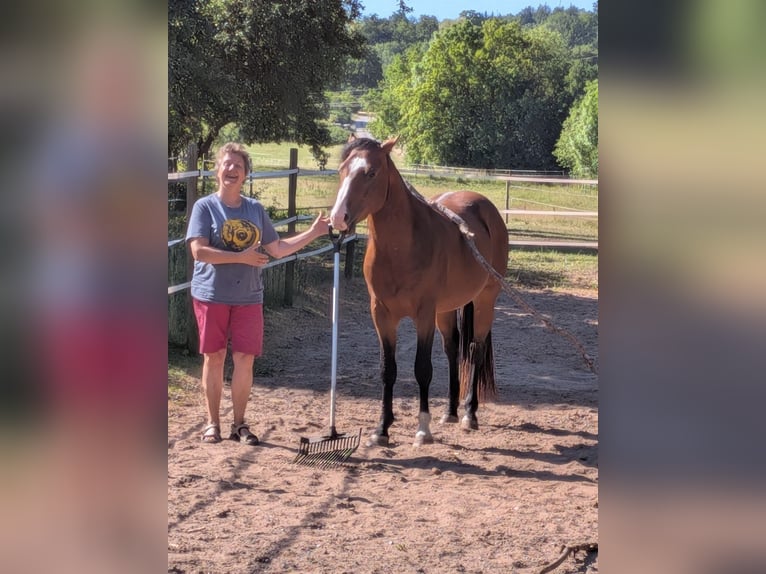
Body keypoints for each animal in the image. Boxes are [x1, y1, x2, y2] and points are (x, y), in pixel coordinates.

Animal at [329, 136, 509, 447]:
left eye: (371, 172)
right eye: (342, 169)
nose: (338, 217)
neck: (402, 248)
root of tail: (486, 208)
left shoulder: (423, 315)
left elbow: (422, 368)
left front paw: (423, 429)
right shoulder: (381, 314)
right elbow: (387, 369)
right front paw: (381, 429)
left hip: (485, 300)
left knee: (474, 350)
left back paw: (468, 414)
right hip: (447, 310)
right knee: (453, 350)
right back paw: (450, 412)